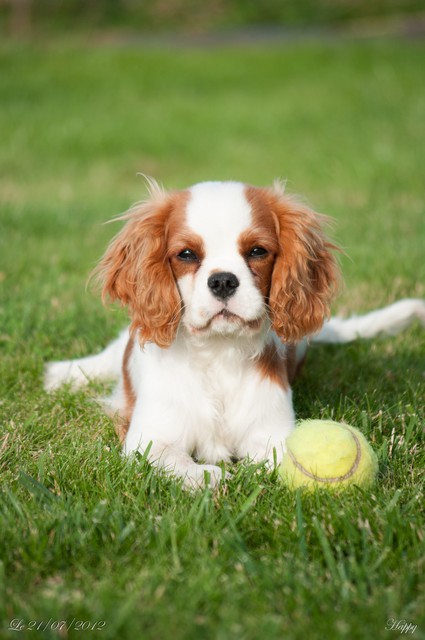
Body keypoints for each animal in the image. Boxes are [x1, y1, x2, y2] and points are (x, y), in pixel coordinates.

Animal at [44, 178, 424, 488]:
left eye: (257, 251)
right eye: (186, 254)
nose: (223, 280)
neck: (217, 353)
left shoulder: (271, 431)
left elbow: (275, 460)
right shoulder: (148, 439)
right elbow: (178, 462)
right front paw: (211, 476)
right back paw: (64, 374)